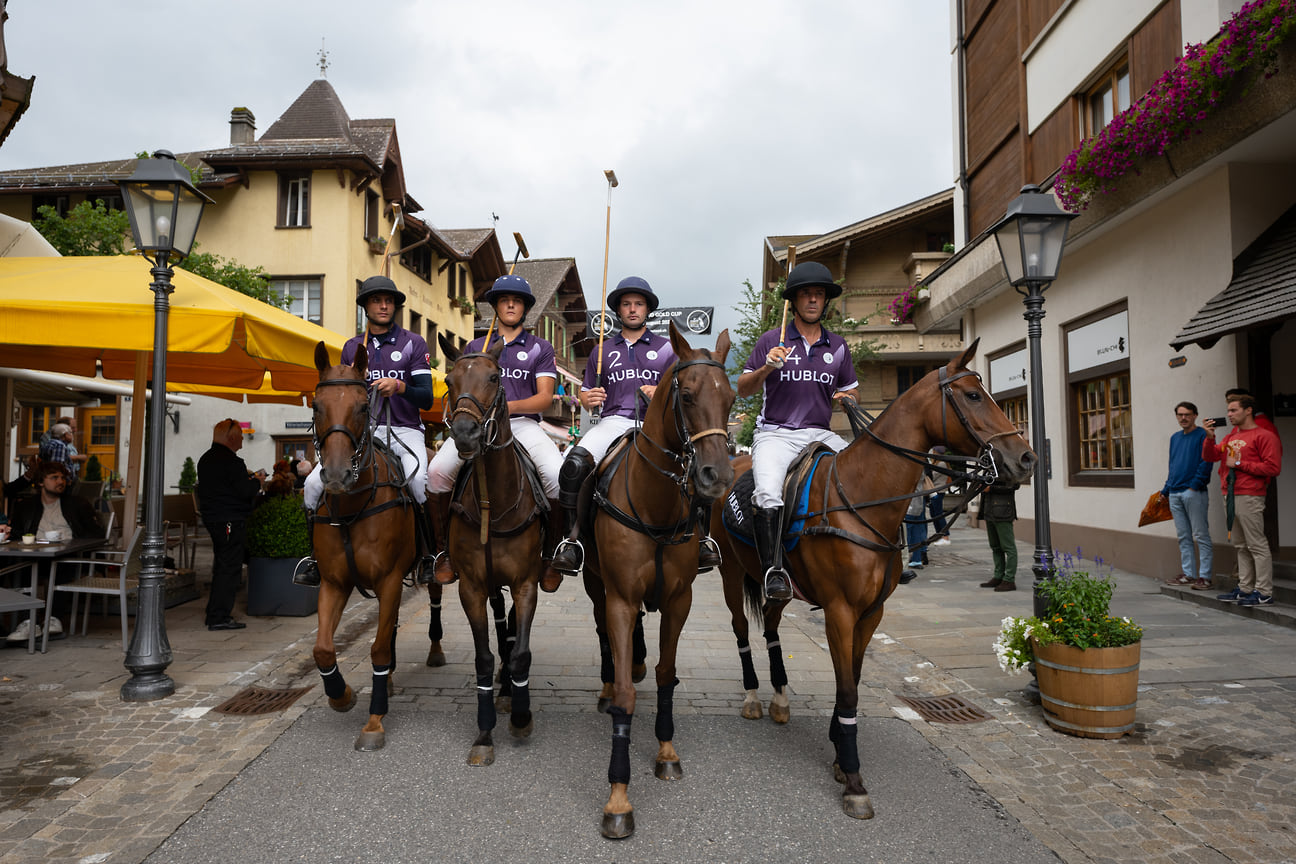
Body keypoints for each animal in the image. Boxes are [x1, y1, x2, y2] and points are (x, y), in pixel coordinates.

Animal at [305, 341, 412, 751]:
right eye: (316, 405)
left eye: (363, 407)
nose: (336, 475)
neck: (352, 509)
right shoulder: (334, 583)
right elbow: (322, 648)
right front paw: (341, 695)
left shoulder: (391, 579)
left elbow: (378, 648)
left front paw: (374, 721)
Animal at [583, 322, 736, 839]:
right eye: (686, 396)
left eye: (732, 397)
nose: (716, 476)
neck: (655, 506)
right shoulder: (620, 598)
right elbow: (626, 694)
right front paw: (618, 797)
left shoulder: (678, 600)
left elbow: (667, 675)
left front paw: (667, 751)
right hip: (595, 586)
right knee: (603, 636)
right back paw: (608, 682)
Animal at [710, 336, 1031, 818]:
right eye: (974, 395)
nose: (1025, 458)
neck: (864, 500)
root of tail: (735, 464)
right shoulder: (840, 612)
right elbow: (846, 690)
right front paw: (854, 778)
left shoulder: (871, 614)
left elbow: (855, 682)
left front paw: (840, 754)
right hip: (731, 574)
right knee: (742, 631)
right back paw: (751, 697)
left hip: (779, 587)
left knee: (770, 627)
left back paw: (781, 698)